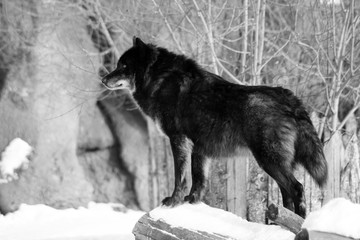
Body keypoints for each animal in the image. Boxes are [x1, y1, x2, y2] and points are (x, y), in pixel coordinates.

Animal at [100, 37, 326, 218]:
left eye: (124, 66)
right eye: (118, 64)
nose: (103, 79)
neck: (160, 79)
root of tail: (289, 96)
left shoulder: (179, 140)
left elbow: (180, 176)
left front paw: (173, 201)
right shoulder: (199, 149)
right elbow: (199, 179)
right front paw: (191, 200)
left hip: (269, 160)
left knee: (297, 189)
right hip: (273, 163)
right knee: (287, 193)